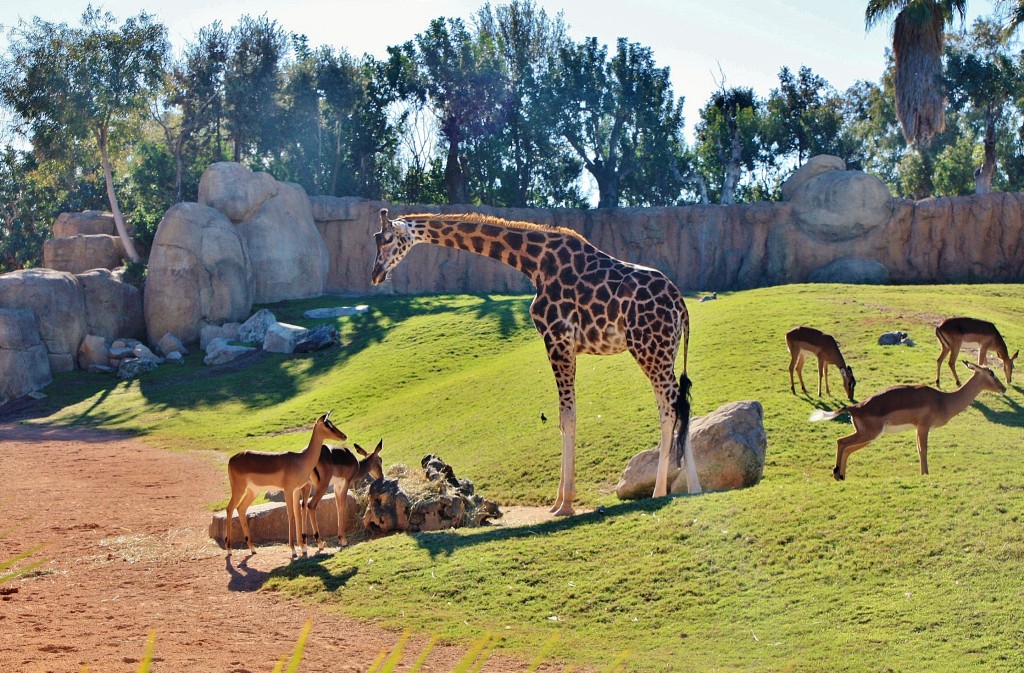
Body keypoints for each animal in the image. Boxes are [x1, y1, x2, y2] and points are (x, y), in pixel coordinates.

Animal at [372, 209, 700, 514]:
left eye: (387, 239)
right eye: (377, 238)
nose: (376, 274)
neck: (535, 263)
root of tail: (682, 305)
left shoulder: (557, 339)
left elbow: (567, 417)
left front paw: (565, 504)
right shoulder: (565, 345)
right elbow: (562, 419)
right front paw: (557, 502)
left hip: (650, 348)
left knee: (674, 406)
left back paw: (672, 490)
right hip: (662, 351)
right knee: (676, 404)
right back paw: (686, 488)